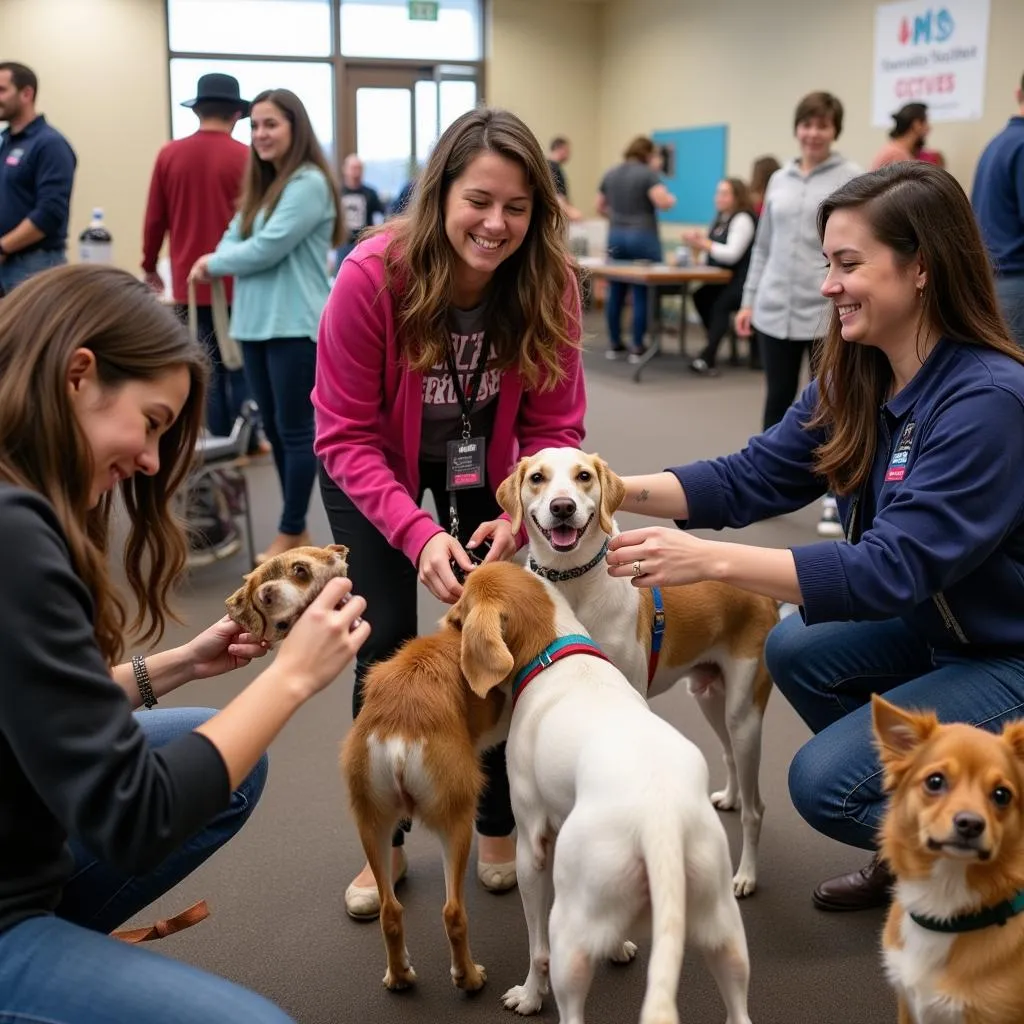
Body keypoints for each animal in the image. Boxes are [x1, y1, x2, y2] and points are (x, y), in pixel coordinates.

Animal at [337, 614, 509, 991]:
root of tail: (400, 729)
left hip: (372, 823)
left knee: (390, 911)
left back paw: (399, 976)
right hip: (456, 825)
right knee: (453, 913)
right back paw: (469, 978)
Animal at [448, 565, 753, 1024]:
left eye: (462, 605)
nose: (445, 617)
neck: (554, 650)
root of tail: (659, 821)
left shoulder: (532, 848)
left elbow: (536, 947)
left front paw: (529, 995)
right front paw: (619, 946)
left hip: (570, 936)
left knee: (562, 983)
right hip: (726, 938)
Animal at [495, 448, 774, 897]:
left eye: (584, 476)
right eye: (537, 478)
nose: (562, 507)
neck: (573, 581)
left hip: (744, 712)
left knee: (756, 808)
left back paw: (746, 873)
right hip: (710, 695)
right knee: (729, 755)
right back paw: (731, 796)